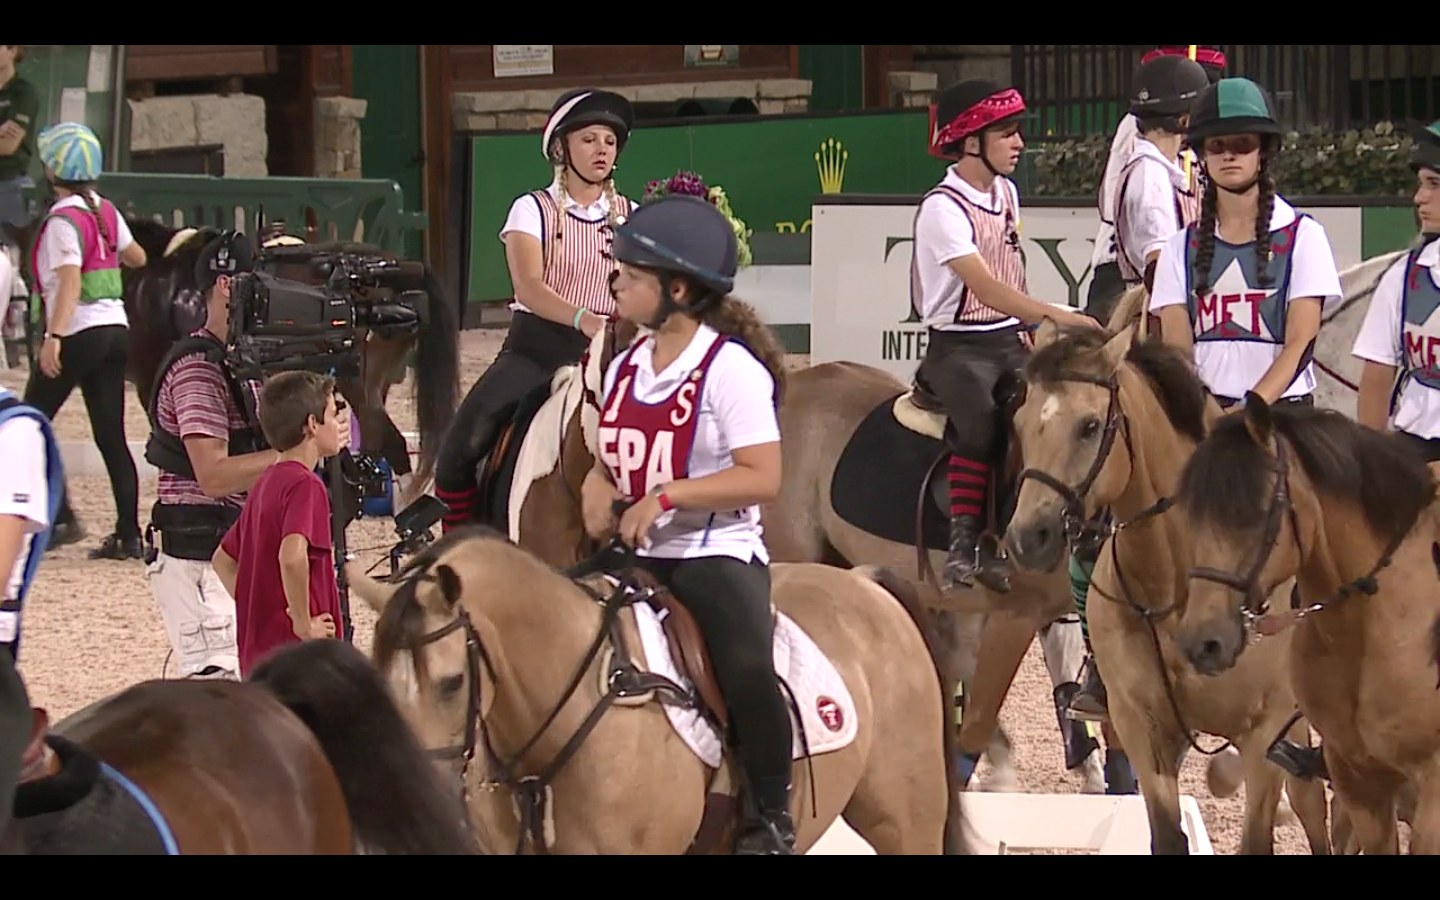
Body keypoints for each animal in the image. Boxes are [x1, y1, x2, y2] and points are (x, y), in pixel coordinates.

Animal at [1002, 320, 1331, 855]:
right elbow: (1167, 835)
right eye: (1022, 422)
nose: (1027, 537)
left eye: (1089, 426)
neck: (1176, 589)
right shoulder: (1145, 730)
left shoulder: (1264, 736)